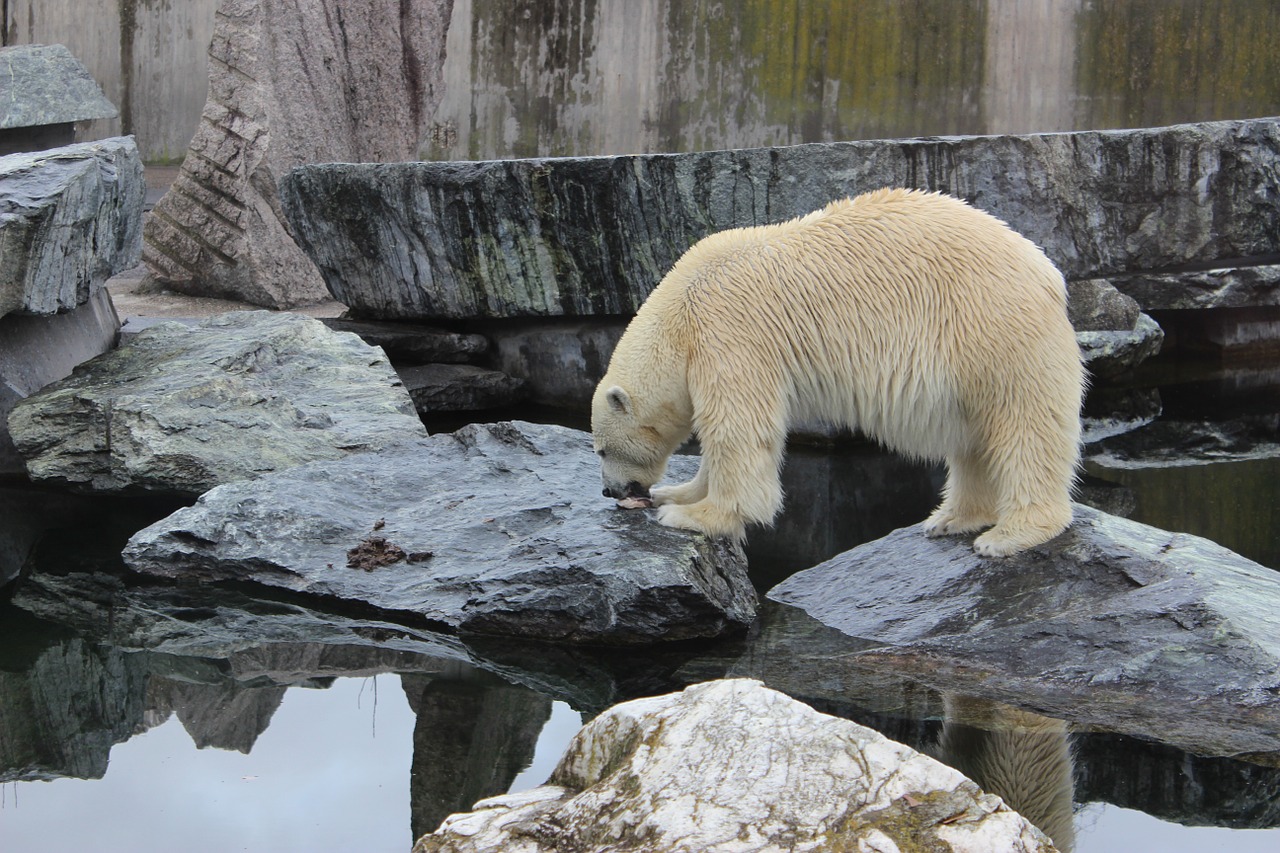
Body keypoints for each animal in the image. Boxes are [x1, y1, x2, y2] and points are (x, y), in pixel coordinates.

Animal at [593, 188, 1085, 555]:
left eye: (600, 449)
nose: (609, 492)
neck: (679, 313)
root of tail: (1048, 272)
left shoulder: (728, 334)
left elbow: (738, 431)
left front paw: (692, 515)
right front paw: (676, 492)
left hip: (992, 329)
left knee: (1023, 424)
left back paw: (1009, 534)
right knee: (974, 436)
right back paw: (951, 518)